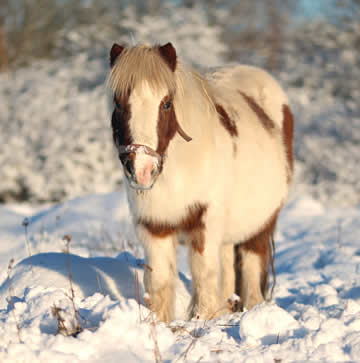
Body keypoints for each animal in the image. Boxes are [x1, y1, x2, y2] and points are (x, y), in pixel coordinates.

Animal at [107, 43, 292, 324]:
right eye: (118, 103)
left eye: (166, 104)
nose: (141, 170)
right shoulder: (154, 226)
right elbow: (160, 281)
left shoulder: (204, 223)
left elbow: (203, 276)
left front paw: (200, 322)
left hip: (260, 226)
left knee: (250, 275)